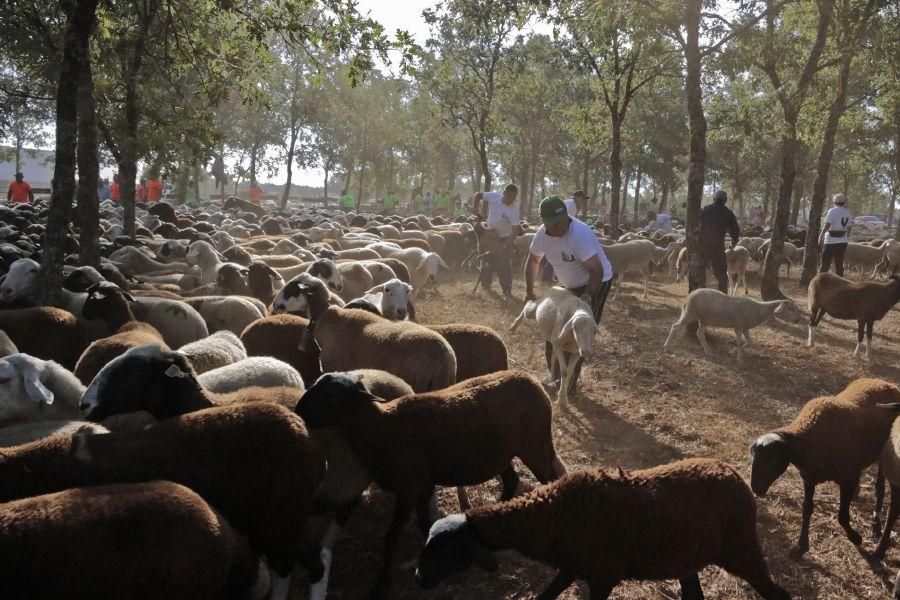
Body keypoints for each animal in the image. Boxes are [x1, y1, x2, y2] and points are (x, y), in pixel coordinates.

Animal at [744, 380, 900, 556]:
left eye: (772, 459)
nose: (756, 489)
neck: (808, 438)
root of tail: (885, 382)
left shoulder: (848, 478)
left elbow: (842, 516)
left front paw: (855, 538)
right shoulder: (809, 478)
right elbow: (806, 510)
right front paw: (801, 546)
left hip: (885, 456)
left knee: (879, 488)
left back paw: (876, 526)